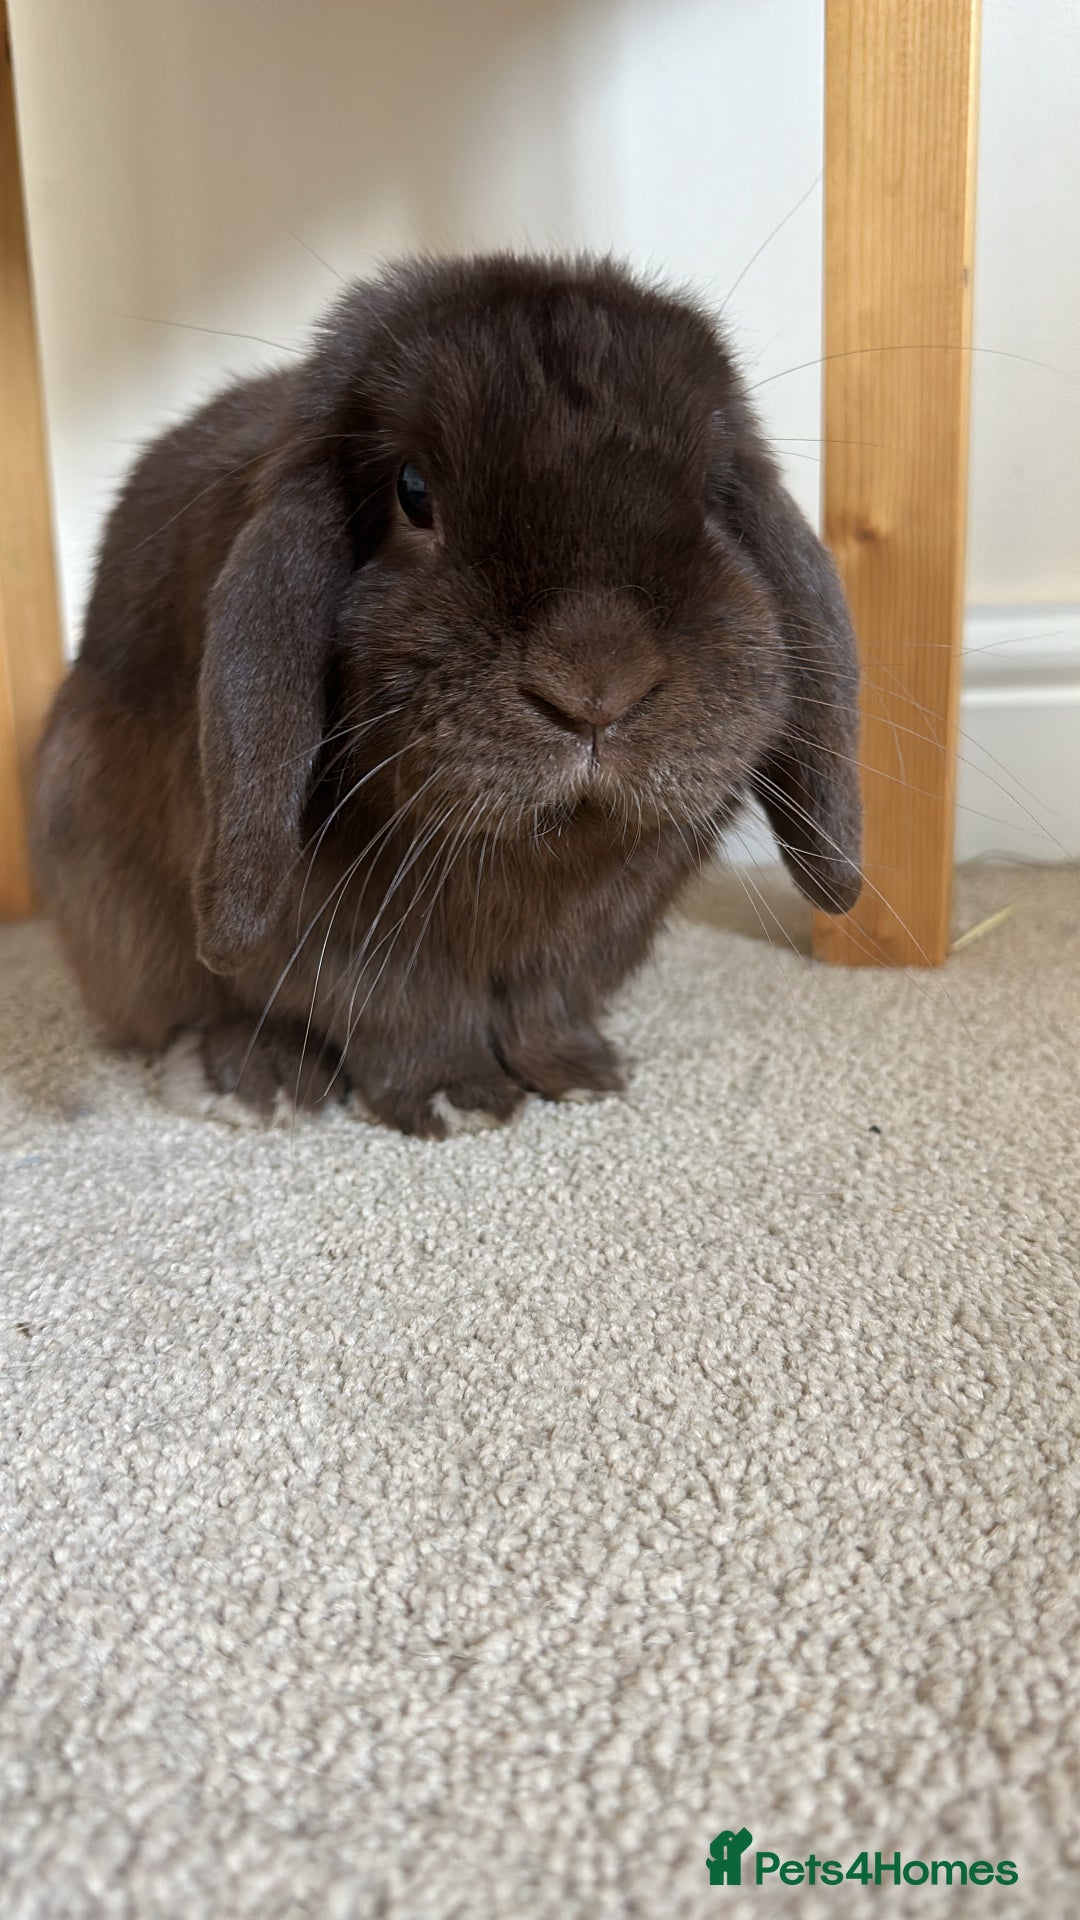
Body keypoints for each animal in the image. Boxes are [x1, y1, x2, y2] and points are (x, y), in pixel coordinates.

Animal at [34, 253, 862, 1138]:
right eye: (413, 491)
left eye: (710, 490)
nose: (596, 685)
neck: (533, 853)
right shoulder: (345, 943)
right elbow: (403, 1013)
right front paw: (458, 1098)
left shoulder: (586, 941)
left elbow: (546, 1002)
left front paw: (580, 1074)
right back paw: (259, 1080)